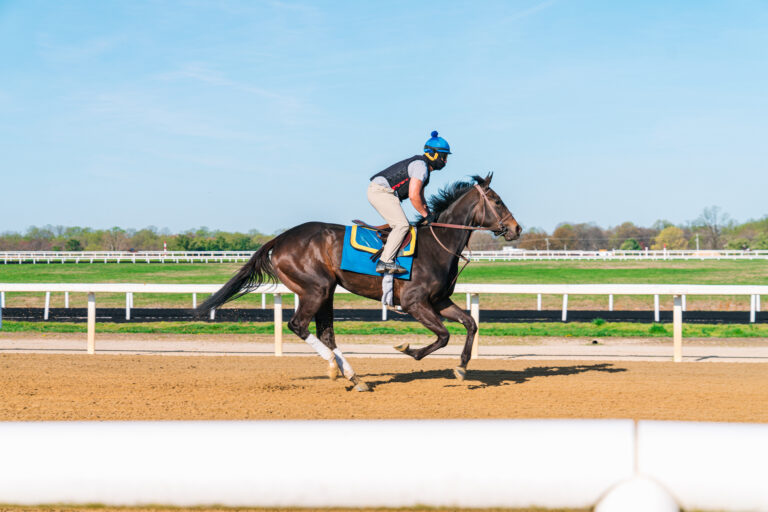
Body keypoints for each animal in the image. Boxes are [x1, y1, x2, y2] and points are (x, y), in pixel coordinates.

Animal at [198, 174, 520, 390]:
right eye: (497, 201)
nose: (516, 229)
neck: (437, 245)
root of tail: (280, 238)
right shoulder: (415, 303)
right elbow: (443, 336)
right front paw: (409, 350)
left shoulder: (439, 301)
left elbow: (470, 324)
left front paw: (462, 367)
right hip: (315, 289)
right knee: (298, 325)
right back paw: (333, 366)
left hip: (326, 291)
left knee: (326, 333)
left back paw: (354, 377)